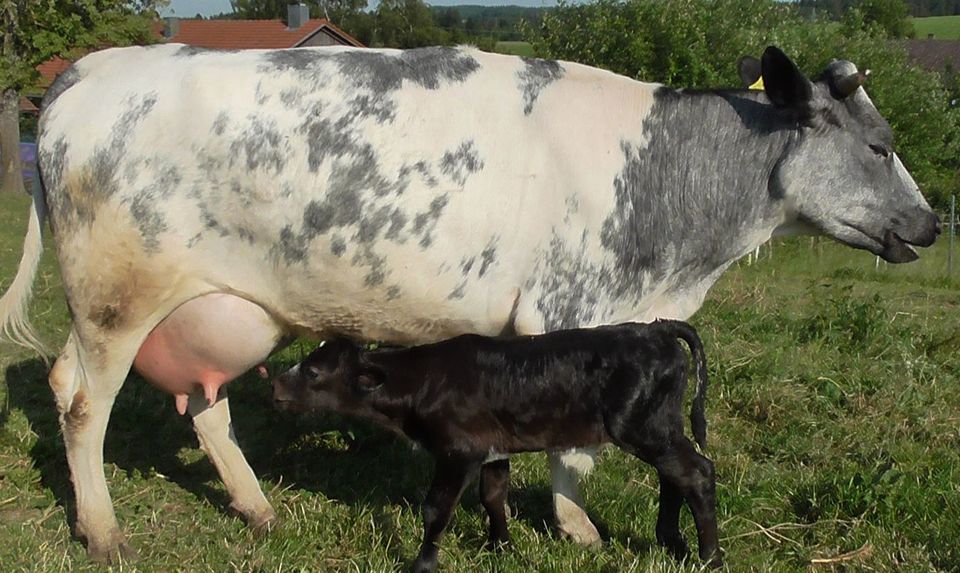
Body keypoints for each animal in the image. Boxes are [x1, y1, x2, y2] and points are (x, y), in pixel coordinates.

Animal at [270, 320, 720, 568]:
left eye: (312, 372)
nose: (274, 384)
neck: (424, 381)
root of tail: (654, 328)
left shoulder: (458, 451)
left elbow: (436, 509)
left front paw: (423, 563)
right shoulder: (491, 448)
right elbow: (493, 495)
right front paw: (501, 547)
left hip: (642, 427)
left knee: (696, 473)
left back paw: (709, 556)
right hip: (659, 427)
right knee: (674, 476)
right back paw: (673, 543)